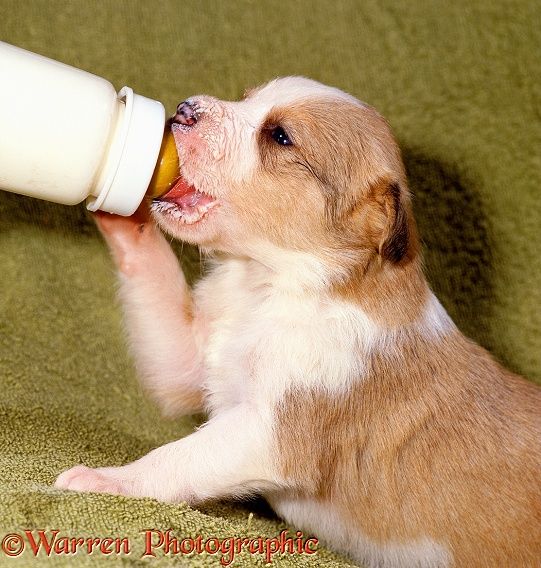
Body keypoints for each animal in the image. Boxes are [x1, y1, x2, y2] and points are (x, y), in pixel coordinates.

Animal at [54, 77, 540, 564]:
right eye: (246, 98)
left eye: (280, 137)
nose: (185, 109)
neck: (268, 287)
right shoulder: (188, 362)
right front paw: (122, 193)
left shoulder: (266, 432)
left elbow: (175, 459)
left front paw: (104, 481)